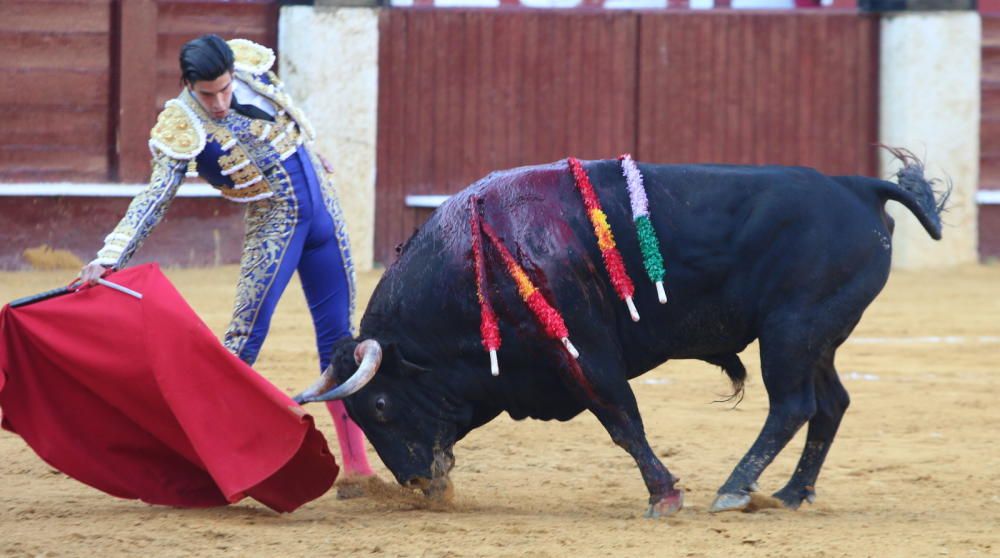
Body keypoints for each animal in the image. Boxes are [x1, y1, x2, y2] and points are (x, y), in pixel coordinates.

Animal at [292, 151, 944, 520]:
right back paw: (788, 494)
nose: (418, 483)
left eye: (379, 404)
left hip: (792, 331)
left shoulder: (583, 351)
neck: (478, 261)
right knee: (831, 403)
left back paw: (735, 489)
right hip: (817, 339)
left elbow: (622, 421)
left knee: (793, 405)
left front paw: (664, 495)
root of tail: (859, 187)